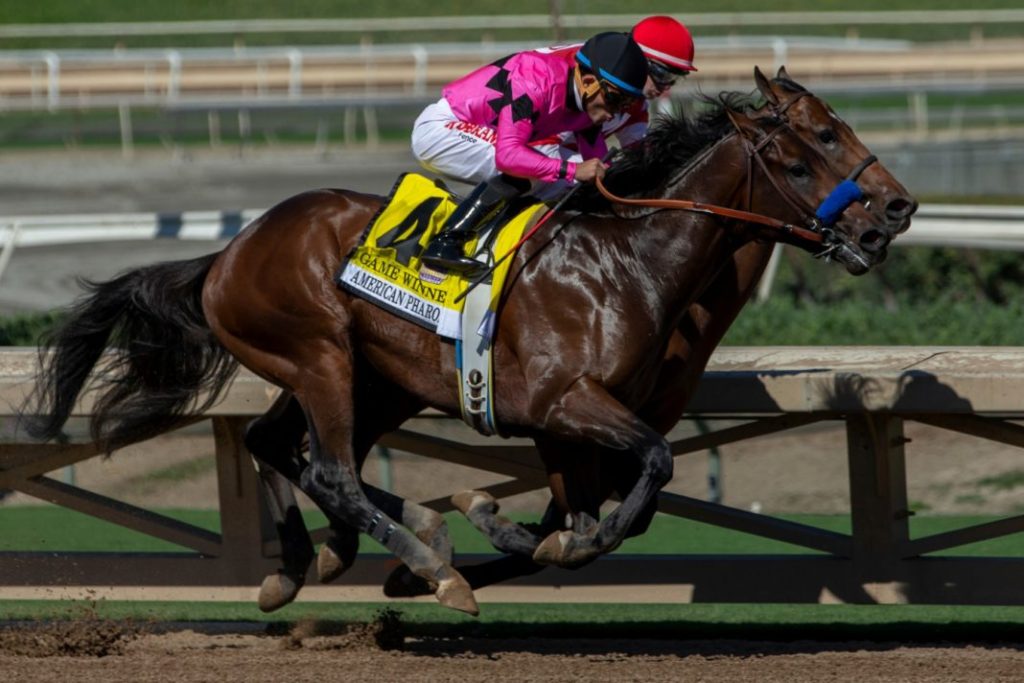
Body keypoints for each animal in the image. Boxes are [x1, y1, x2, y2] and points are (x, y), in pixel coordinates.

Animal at [24, 66, 917, 618]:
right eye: (812, 151)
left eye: (839, 129)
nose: (894, 211)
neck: (630, 260)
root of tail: (229, 251)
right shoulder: (564, 404)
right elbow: (640, 481)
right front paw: (493, 528)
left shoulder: (569, 428)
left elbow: (597, 517)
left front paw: (516, 528)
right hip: (321, 358)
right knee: (330, 467)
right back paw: (432, 562)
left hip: (364, 377)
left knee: (277, 444)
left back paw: (319, 560)